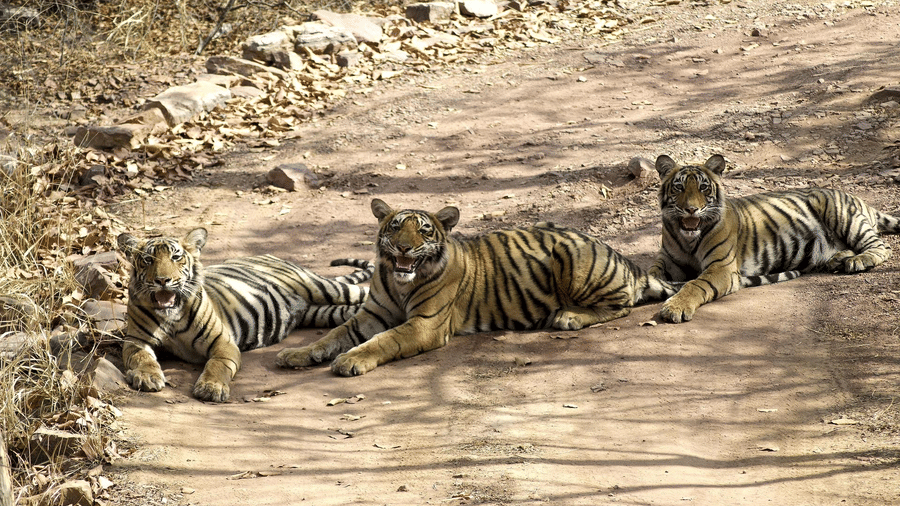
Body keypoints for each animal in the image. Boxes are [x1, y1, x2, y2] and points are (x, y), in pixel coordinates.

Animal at [117, 227, 373, 402]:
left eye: (176, 257)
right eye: (148, 260)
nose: (162, 280)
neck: (171, 315)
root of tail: (271, 256)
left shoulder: (222, 342)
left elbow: (217, 365)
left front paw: (211, 388)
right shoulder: (136, 340)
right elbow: (142, 358)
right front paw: (148, 377)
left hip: (323, 288)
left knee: (366, 293)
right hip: (323, 312)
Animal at [274, 198, 685, 376]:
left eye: (424, 231)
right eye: (395, 227)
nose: (404, 248)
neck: (399, 280)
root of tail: (623, 258)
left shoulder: (425, 324)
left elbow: (383, 341)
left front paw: (350, 360)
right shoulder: (371, 314)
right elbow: (335, 334)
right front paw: (297, 354)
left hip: (570, 254)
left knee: (622, 305)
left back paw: (568, 317)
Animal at [650, 153, 900, 323]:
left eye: (703, 188)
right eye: (679, 187)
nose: (691, 209)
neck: (688, 238)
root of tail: (860, 200)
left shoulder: (721, 267)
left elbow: (695, 284)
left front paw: (675, 307)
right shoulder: (669, 261)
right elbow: (654, 272)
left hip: (841, 213)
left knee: (881, 246)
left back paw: (857, 261)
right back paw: (838, 259)